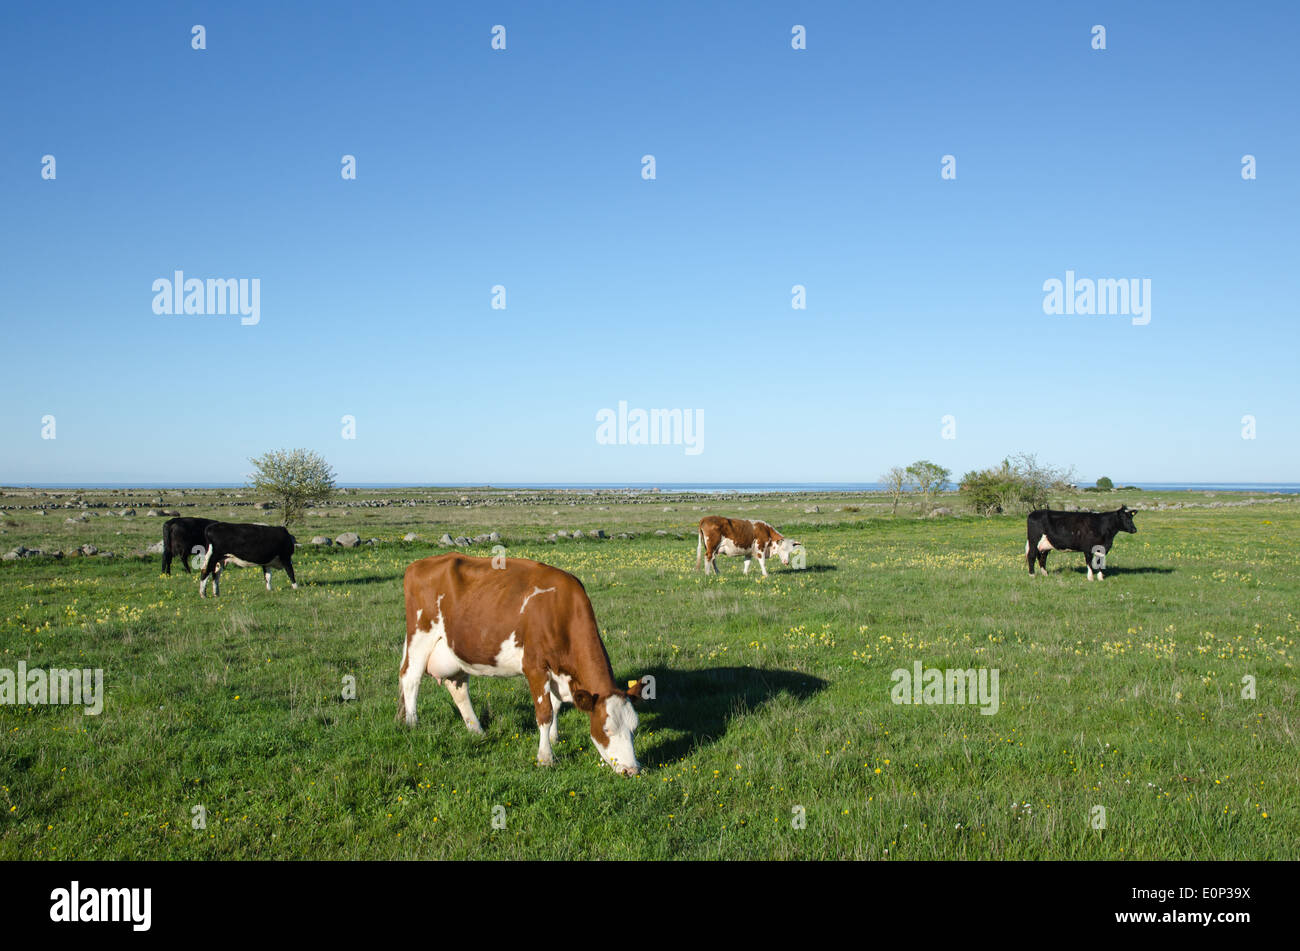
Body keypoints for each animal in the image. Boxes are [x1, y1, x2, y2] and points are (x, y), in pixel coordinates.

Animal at [398, 553, 649, 776]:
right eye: (607, 729)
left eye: (634, 728)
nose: (632, 770)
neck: (560, 609)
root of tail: (419, 563)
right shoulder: (535, 667)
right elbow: (545, 712)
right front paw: (546, 758)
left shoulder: (557, 672)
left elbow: (556, 706)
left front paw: (554, 739)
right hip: (420, 635)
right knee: (410, 678)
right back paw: (412, 724)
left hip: (456, 648)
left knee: (457, 687)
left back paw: (476, 730)